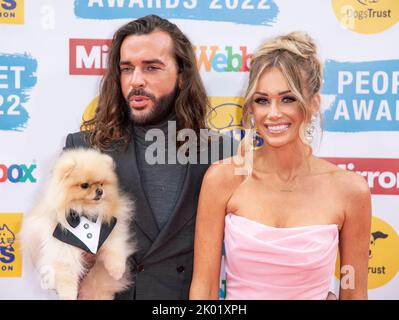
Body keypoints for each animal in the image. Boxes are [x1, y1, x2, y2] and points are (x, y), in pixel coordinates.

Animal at [20, 148, 136, 300]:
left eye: (101, 183)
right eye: (84, 185)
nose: (100, 191)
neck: (86, 212)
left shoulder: (111, 228)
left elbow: (115, 248)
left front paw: (117, 271)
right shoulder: (62, 248)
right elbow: (66, 275)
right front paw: (68, 295)